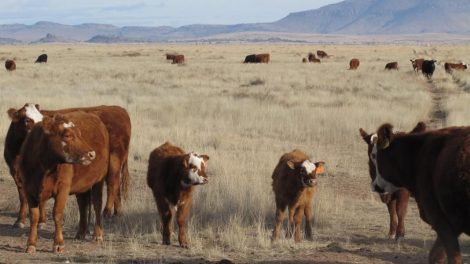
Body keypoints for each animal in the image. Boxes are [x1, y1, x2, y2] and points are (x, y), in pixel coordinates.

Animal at [20, 111, 109, 254]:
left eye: (79, 134)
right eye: (67, 135)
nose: (92, 154)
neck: (43, 168)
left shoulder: (63, 188)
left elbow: (57, 214)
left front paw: (58, 244)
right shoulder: (29, 189)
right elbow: (34, 216)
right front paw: (31, 244)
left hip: (98, 180)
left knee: (97, 204)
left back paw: (98, 235)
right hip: (82, 185)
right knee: (83, 204)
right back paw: (80, 233)